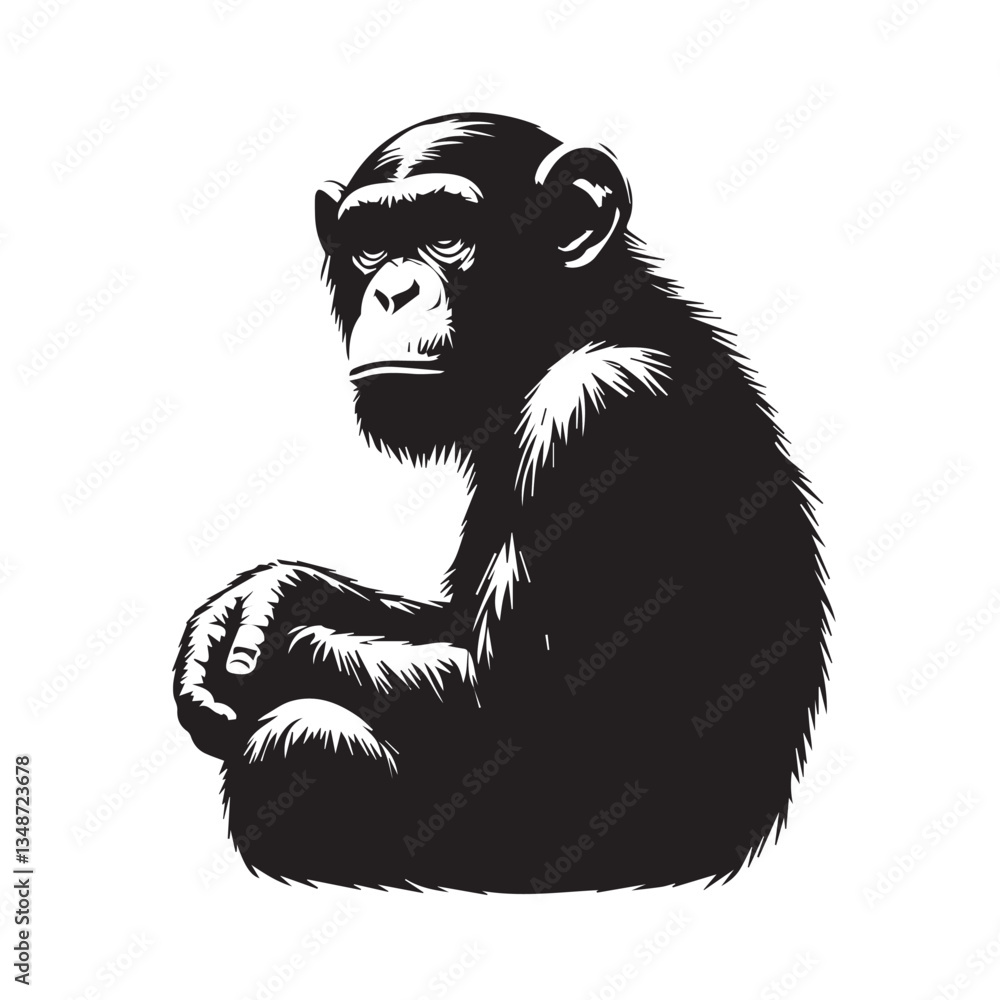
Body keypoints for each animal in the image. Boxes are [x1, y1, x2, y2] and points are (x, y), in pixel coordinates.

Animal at [173, 114, 829, 891]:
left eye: (446, 235)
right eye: (370, 246)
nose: (393, 292)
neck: (566, 332)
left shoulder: (594, 411)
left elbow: (516, 706)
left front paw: (276, 645)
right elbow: (458, 623)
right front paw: (263, 599)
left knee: (298, 740)